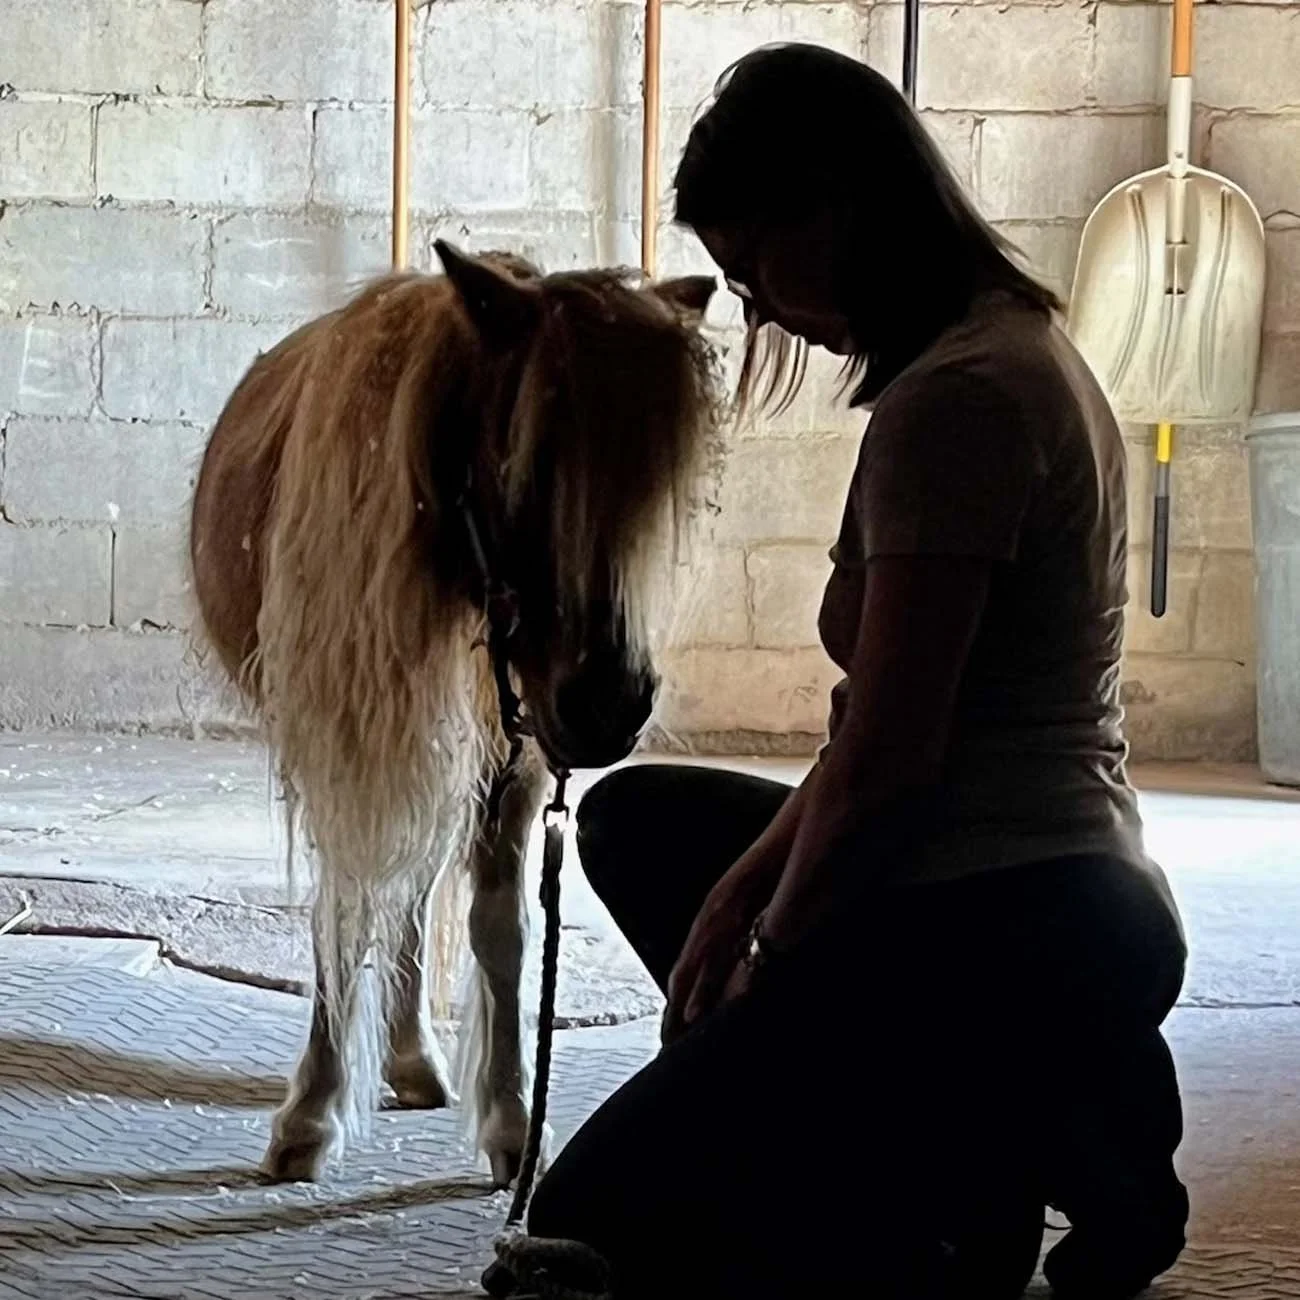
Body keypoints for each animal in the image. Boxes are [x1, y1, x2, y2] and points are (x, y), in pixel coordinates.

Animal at [189, 242, 719, 1185]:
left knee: (419, 886)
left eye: (659, 486)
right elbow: (344, 912)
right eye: (527, 463)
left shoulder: (514, 755)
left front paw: (512, 1123)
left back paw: (415, 1059)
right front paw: (311, 1114)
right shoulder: (346, 744)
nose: (608, 702)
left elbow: (498, 929)